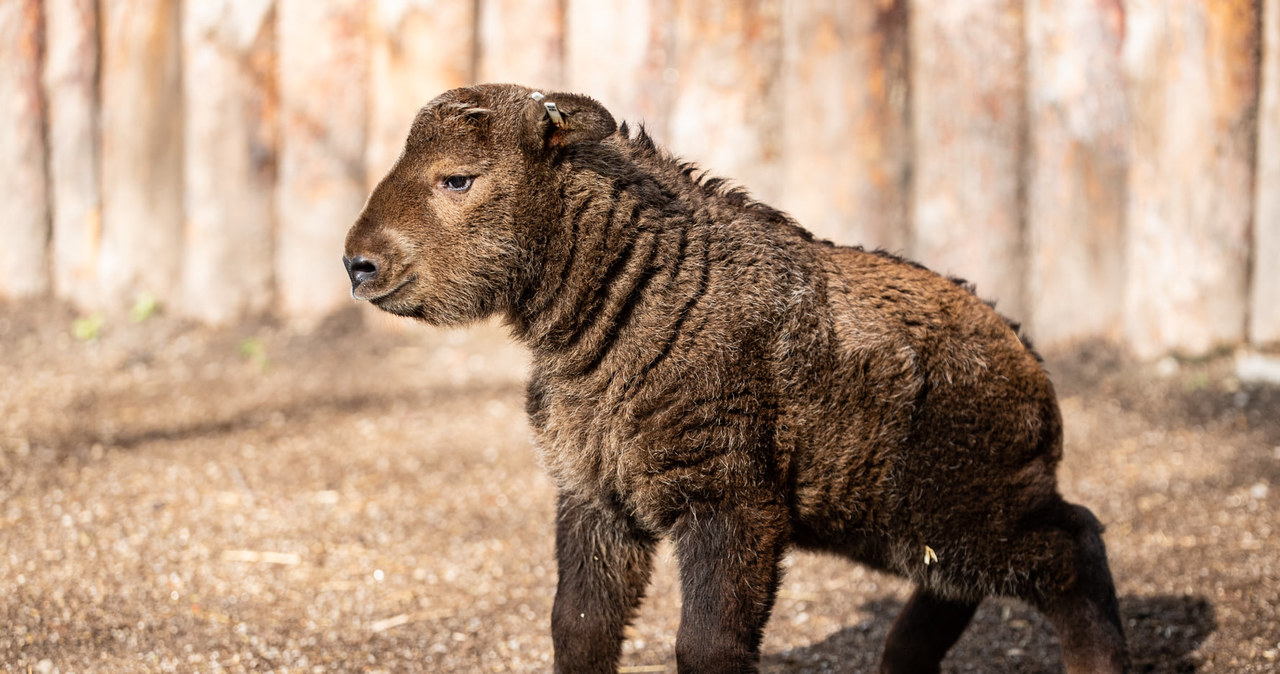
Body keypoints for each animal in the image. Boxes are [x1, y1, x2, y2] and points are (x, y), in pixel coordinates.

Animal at [343, 85, 1131, 674]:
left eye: (457, 177)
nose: (358, 263)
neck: (638, 296)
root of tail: (1030, 360)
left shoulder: (730, 501)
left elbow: (707, 645)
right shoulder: (596, 495)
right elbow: (580, 628)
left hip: (966, 505)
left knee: (1075, 544)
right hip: (899, 518)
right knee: (961, 582)